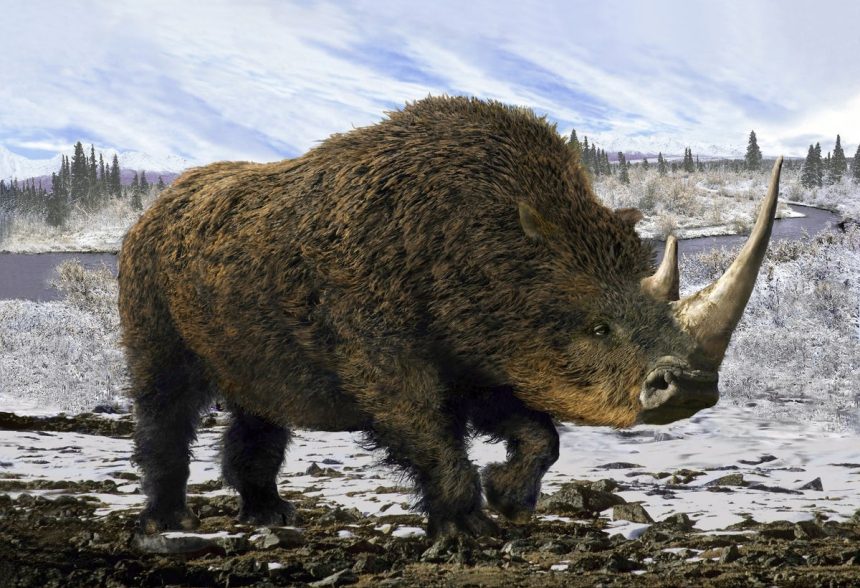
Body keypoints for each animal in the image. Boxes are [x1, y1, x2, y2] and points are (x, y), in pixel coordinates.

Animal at [118, 96, 783, 539]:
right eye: (598, 328)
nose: (690, 389)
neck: (500, 252)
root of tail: (153, 208)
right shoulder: (384, 351)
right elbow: (428, 430)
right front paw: (469, 529)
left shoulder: (489, 351)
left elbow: (538, 433)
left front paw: (510, 501)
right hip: (146, 278)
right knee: (165, 394)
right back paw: (167, 523)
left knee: (260, 398)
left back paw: (273, 516)